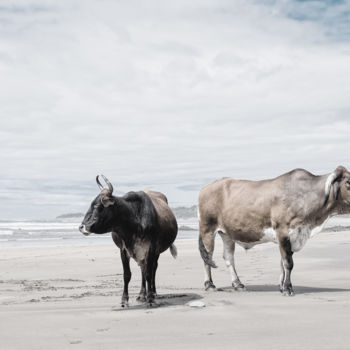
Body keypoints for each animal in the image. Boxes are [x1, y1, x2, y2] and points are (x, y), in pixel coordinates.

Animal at [79, 175, 178, 306]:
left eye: (98, 206)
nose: (82, 227)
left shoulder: (151, 248)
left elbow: (149, 273)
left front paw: (150, 299)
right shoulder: (124, 250)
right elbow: (127, 275)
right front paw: (124, 300)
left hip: (156, 252)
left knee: (153, 269)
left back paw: (153, 293)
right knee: (143, 269)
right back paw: (142, 295)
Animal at [198, 165, 350, 294]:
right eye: (348, 182)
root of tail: (206, 187)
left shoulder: (291, 237)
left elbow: (282, 262)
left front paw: (282, 286)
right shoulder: (283, 231)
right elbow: (288, 263)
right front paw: (288, 288)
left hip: (227, 234)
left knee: (228, 257)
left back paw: (238, 284)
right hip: (207, 229)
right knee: (207, 257)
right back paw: (210, 285)